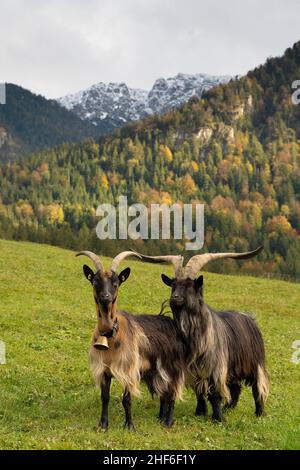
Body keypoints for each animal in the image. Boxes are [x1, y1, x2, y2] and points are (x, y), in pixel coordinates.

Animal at [76, 250, 186, 430]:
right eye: (95, 281)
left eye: (116, 283)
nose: (105, 297)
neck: (111, 336)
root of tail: (170, 321)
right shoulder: (104, 370)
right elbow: (104, 398)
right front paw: (103, 425)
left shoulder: (128, 369)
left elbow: (126, 400)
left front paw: (129, 426)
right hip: (155, 370)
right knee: (163, 392)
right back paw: (160, 418)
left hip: (173, 367)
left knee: (172, 392)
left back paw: (168, 422)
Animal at [135, 246, 268, 422]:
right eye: (173, 285)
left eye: (190, 286)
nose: (174, 298)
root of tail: (250, 318)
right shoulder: (192, 369)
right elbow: (199, 391)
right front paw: (201, 411)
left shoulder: (215, 367)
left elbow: (214, 393)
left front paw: (218, 418)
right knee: (236, 387)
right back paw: (228, 408)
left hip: (254, 363)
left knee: (257, 387)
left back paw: (259, 413)